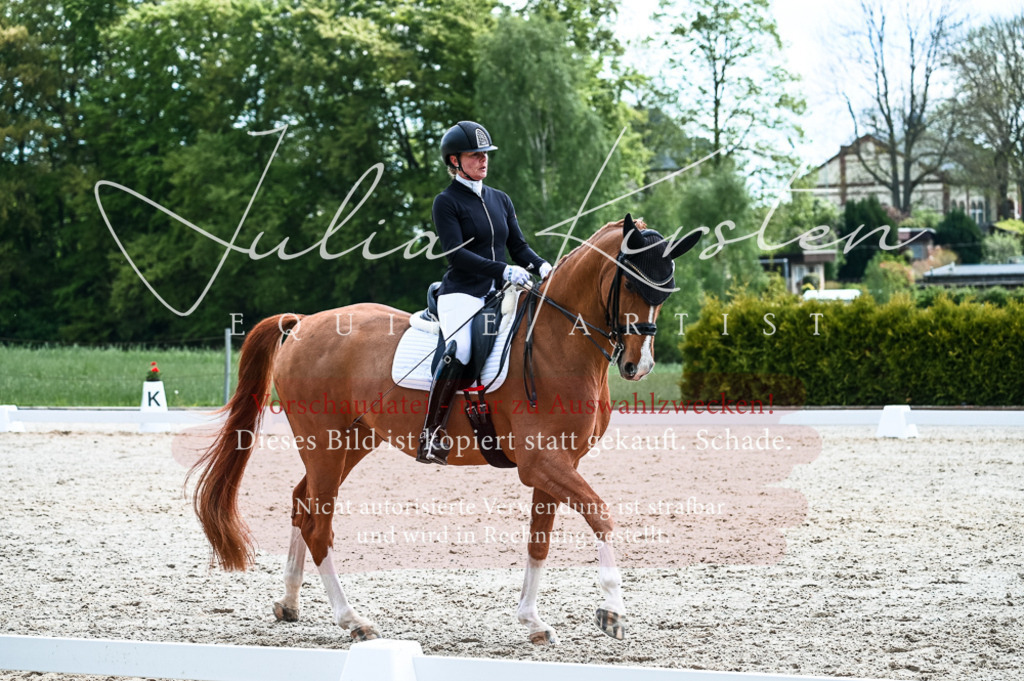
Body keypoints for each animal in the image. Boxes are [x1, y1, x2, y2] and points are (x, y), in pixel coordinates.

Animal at [189, 214, 700, 645]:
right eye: (630, 281)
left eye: (667, 289)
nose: (638, 365)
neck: (556, 345)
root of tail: (302, 324)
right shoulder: (541, 462)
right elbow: (601, 514)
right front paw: (612, 612)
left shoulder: (556, 464)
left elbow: (539, 540)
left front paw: (532, 622)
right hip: (324, 444)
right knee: (319, 525)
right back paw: (353, 620)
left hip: (352, 441)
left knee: (302, 503)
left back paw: (290, 603)